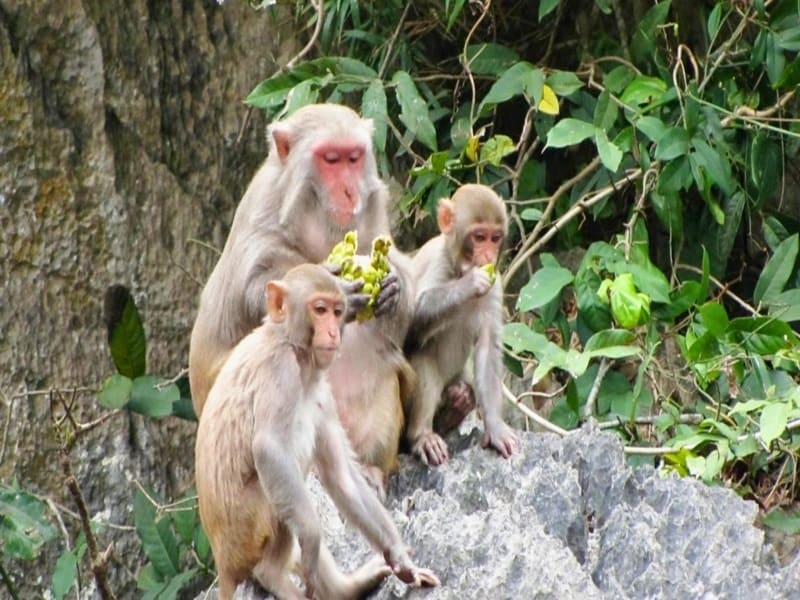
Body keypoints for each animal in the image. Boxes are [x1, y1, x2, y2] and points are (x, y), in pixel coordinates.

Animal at [188, 103, 412, 494]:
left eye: (354, 158)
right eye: (331, 159)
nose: (349, 191)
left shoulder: (373, 214)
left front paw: (393, 289)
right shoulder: (264, 208)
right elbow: (260, 287)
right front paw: (333, 283)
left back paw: (370, 469)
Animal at [406, 185, 520, 466]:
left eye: (495, 238)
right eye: (479, 237)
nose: (489, 255)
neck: (457, 267)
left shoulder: (495, 284)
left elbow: (488, 348)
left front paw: (496, 428)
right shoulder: (436, 262)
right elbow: (408, 319)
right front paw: (470, 283)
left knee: (464, 389)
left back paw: (454, 408)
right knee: (422, 354)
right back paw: (422, 435)